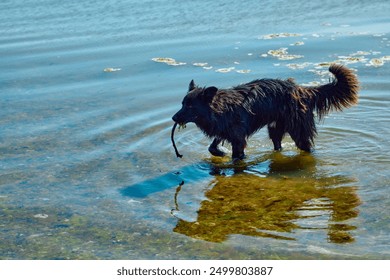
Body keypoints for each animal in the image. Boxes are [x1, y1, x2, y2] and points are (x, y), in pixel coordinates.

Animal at [172, 64, 358, 161]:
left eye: (190, 106)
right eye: (183, 104)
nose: (173, 118)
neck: (219, 109)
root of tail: (303, 90)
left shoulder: (238, 138)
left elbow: (236, 156)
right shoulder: (226, 130)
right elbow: (212, 146)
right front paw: (220, 152)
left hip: (298, 130)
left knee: (307, 147)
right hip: (275, 128)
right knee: (278, 145)